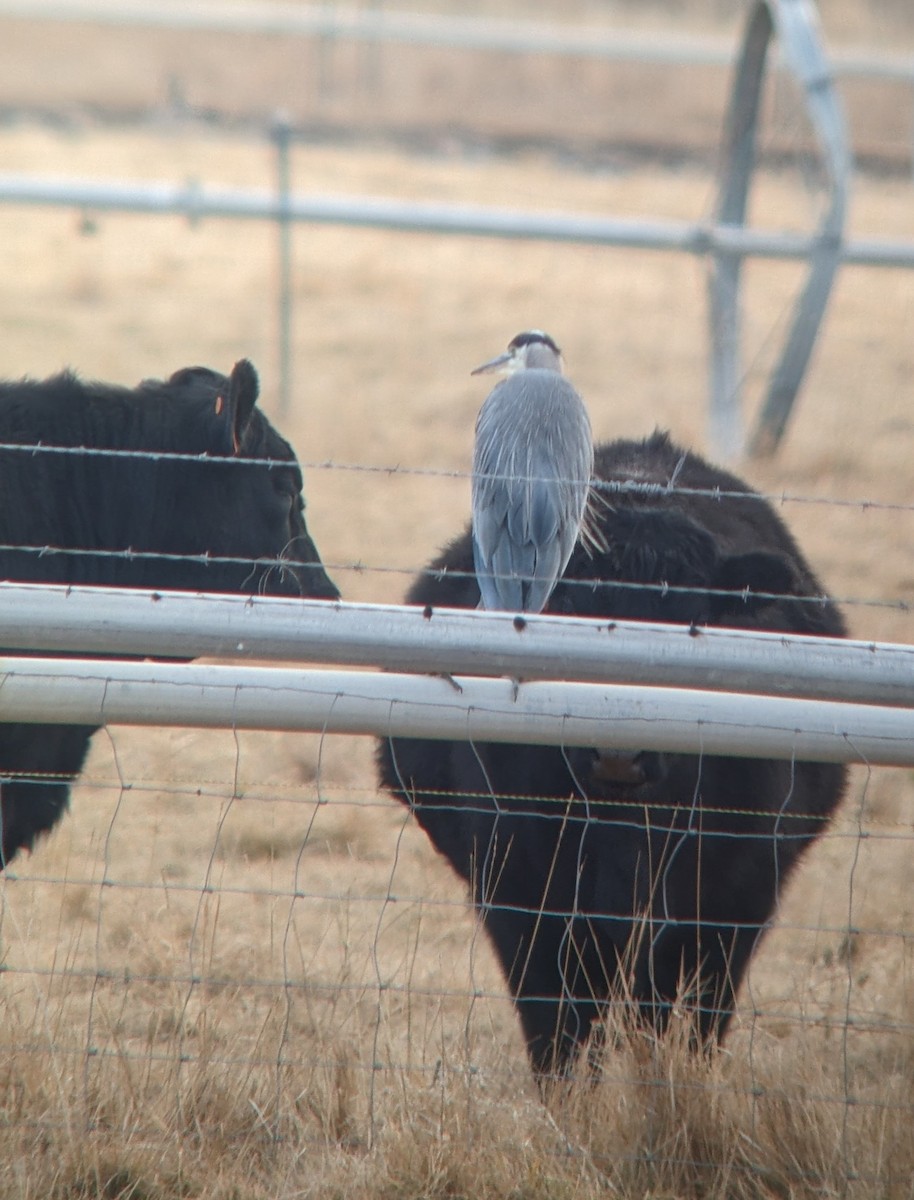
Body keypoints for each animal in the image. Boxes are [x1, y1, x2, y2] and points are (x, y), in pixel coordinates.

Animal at [376, 429, 839, 1080]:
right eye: (566, 606)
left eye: (694, 620)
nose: (621, 751)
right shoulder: (521, 897)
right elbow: (558, 1029)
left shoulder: (729, 901)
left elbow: (680, 1021)